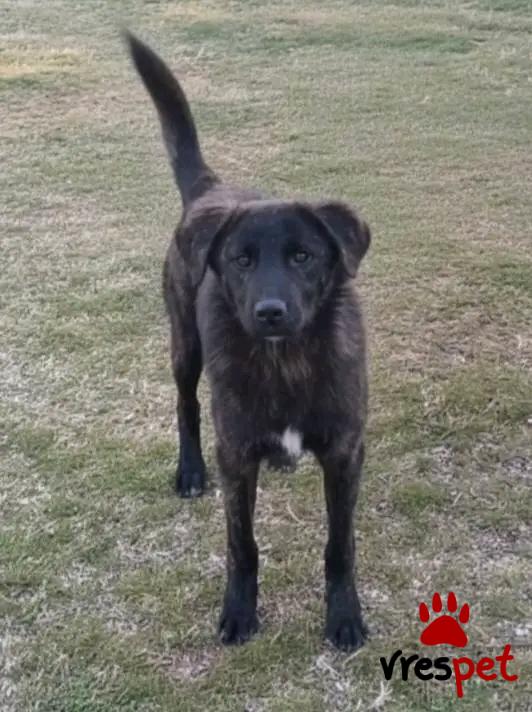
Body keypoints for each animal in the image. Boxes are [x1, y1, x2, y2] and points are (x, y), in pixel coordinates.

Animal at [127, 33, 371, 651]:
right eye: (240, 260)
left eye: (303, 256)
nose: (270, 313)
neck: (286, 363)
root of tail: (210, 189)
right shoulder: (235, 457)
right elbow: (242, 545)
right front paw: (238, 611)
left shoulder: (345, 453)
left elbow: (340, 545)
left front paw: (344, 615)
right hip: (184, 347)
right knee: (186, 406)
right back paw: (190, 471)